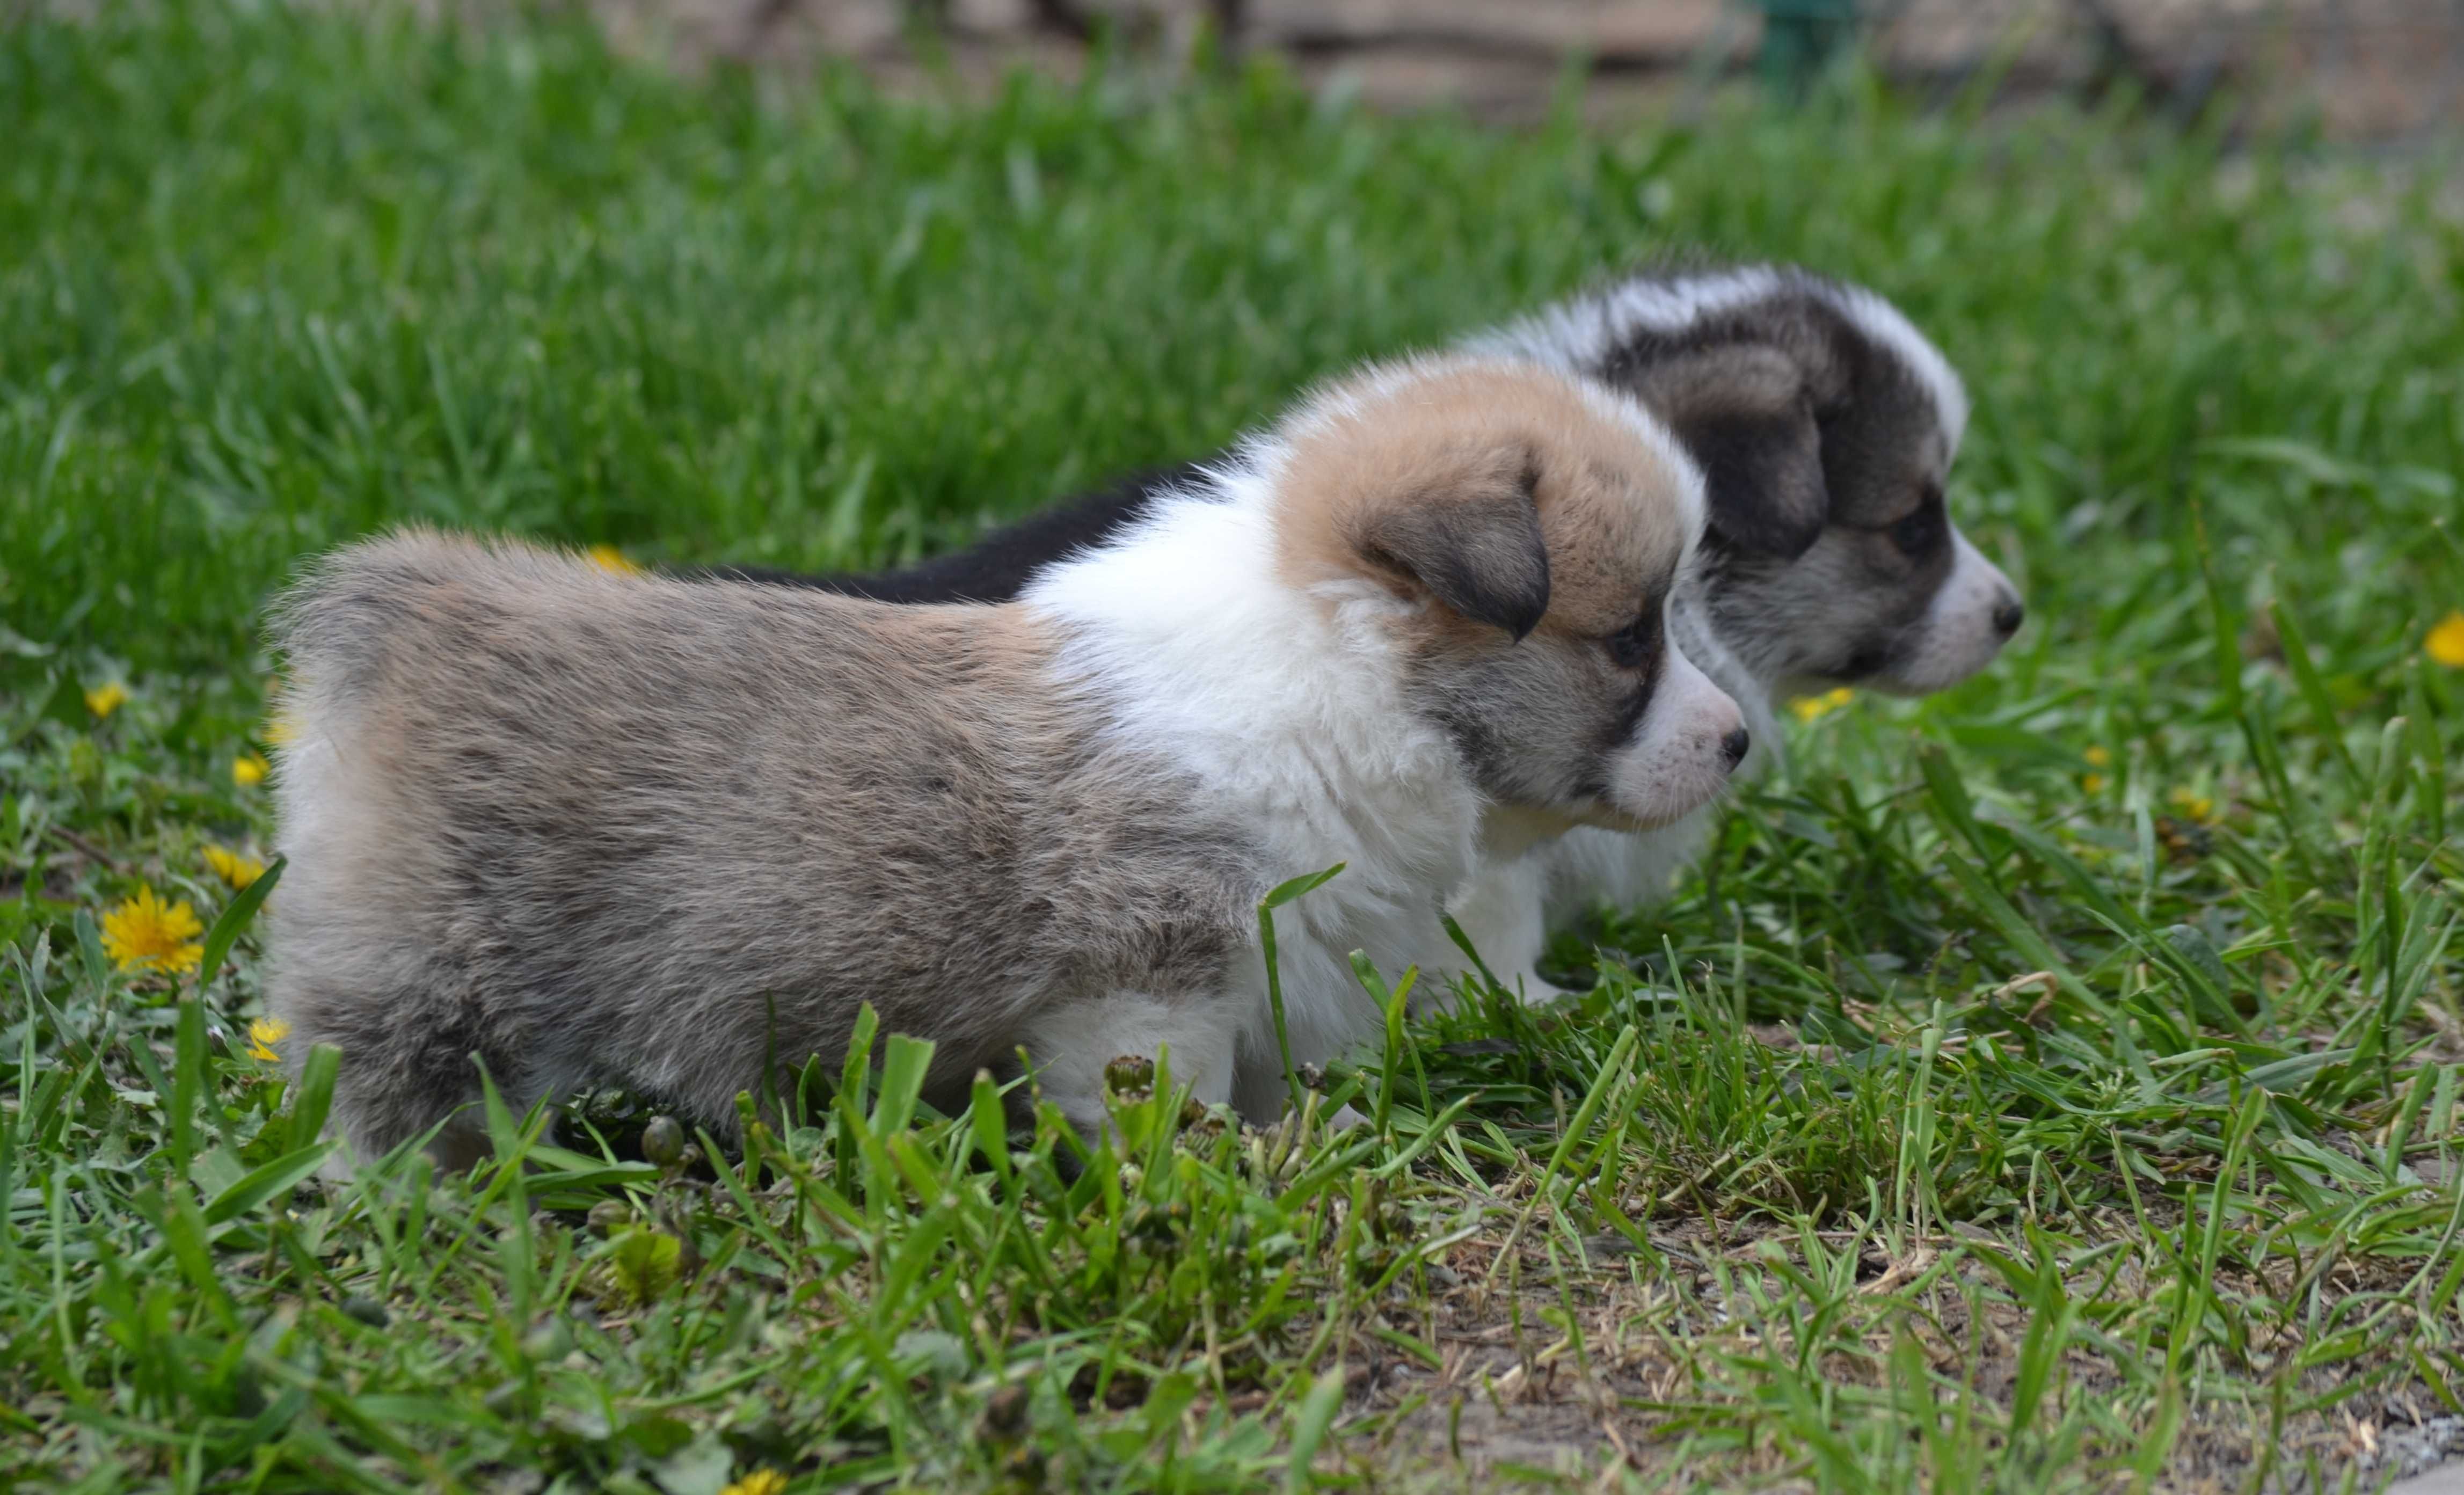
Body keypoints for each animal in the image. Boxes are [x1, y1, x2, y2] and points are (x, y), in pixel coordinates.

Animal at [269, 357, 1744, 1162]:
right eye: (1629, 638)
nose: (1736, 740)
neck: (1343, 675)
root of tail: (409, 615)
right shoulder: (1146, 970)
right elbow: (1162, 1091)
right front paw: (1213, 1169)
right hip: (433, 976)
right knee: (387, 1087)